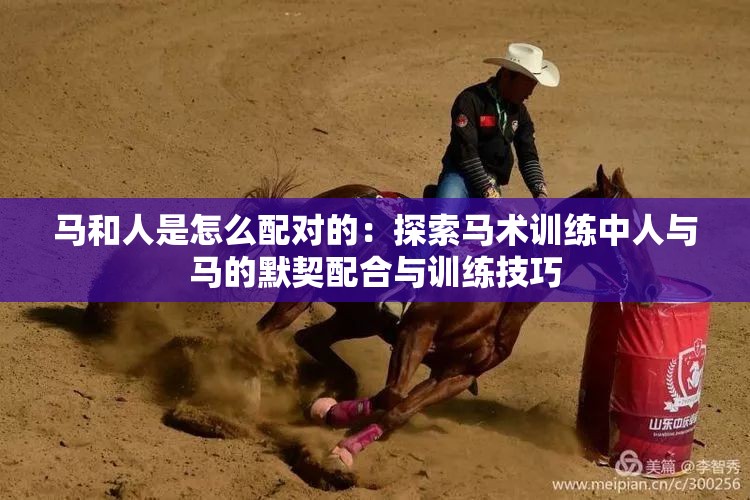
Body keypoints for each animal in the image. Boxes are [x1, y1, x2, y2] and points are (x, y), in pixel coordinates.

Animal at [252, 166, 661, 469]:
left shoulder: (457, 374)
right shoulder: (416, 331)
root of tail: (331, 195)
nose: (653, 288)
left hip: (357, 318)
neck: (501, 292)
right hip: (301, 288)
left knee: (309, 339)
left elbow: (398, 411)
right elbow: (392, 394)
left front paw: (339, 435)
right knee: (264, 333)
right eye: (626, 228)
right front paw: (333, 416)